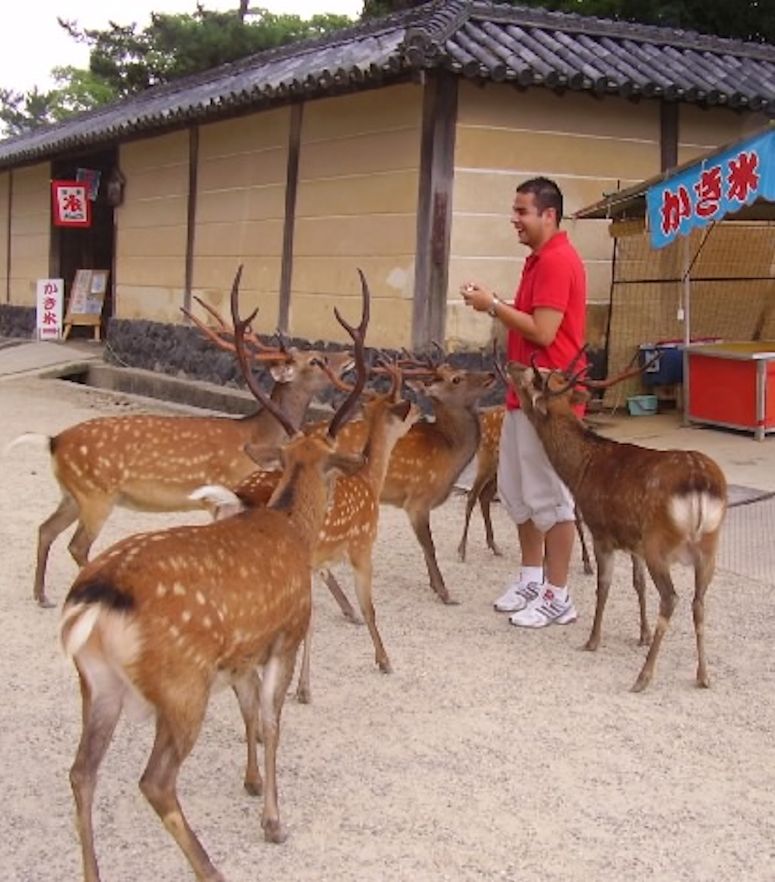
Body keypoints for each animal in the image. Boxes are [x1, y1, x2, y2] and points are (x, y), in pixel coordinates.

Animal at [5, 270, 352, 612]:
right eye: (316, 360)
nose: (348, 355)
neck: (256, 435)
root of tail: (53, 441)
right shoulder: (225, 490)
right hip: (95, 495)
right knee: (77, 545)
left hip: (72, 493)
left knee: (46, 528)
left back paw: (42, 596)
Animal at [57, 262, 370, 880]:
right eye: (331, 465)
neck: (293, 528)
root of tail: (94, 598)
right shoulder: (286, 633)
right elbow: (271, 721)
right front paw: (273, 820)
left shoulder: (243, 652)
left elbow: (249, 710)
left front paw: (249, 783)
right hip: (181, 684)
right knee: (154, 782)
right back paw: (211, 868)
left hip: (97, 684)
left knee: (82, 771)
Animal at [510, 354, 728, 692]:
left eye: (533, 379)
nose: (511, 364)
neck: (581, 470)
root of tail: (700, 480)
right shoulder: (633, 540)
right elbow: (638, 584)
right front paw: (642, 634)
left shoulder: (601, 531)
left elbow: (604, 586)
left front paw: (592, 640)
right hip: (709, 547)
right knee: (698, 602)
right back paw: (703, 675)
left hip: (659, 544)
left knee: (671, 598)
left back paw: (643, 676)